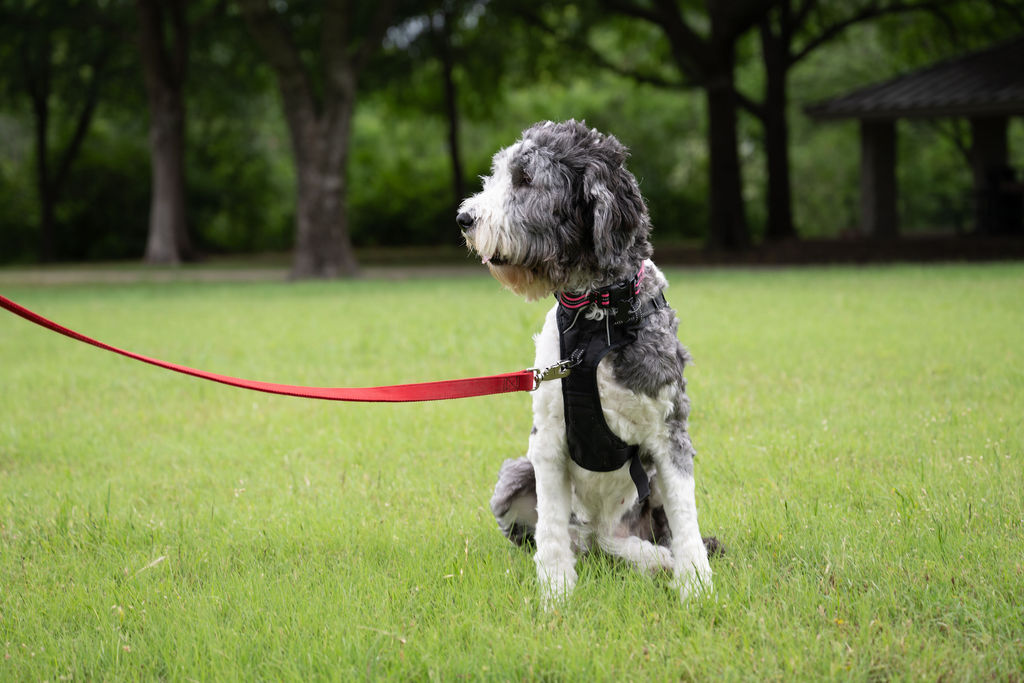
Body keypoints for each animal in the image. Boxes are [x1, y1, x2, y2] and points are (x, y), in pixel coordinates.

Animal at [458, 120, 715, 606]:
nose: (464, 219)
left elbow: (686, 516)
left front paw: (696, 586)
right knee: (578, 536)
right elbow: (551, 529)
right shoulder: (548, 441)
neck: (597, 318)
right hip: (514, 475)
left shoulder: (670, 433)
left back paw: (655, 559)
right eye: (500, 172)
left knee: (617, 539)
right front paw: (556, 591)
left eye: (525, 178)